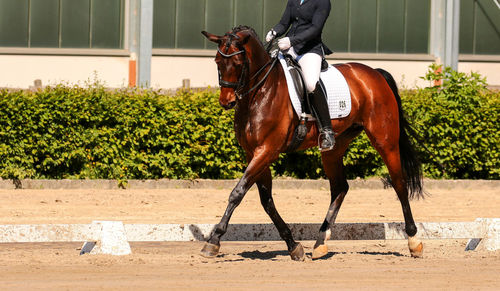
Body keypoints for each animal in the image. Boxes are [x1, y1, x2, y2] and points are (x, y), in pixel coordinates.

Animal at [201, 26, 424, 262]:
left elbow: (238, 192)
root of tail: (375, 73)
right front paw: (293, 245)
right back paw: (320, 243)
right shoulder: (253, 153)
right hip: (333, 148)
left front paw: (213, 241)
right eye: (217, 61)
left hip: (385, 141)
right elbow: (266, 200)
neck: (260, 93)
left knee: (399, 183)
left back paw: (414, 241)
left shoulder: (267, 151)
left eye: (237, 63)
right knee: (340, 188)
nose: (227, 102)